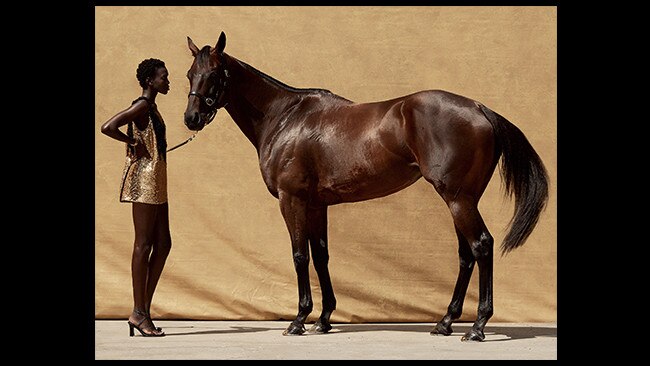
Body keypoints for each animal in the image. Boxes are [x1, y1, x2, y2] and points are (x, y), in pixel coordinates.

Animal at [182, 33, 548, 342]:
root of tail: (479, 108)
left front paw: (299, 321)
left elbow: (300, 256)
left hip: (458, 198)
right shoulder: (317, 204)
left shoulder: (292, 199)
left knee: (481, 246)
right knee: (465, 254)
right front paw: (323, 319)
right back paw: (445, 322)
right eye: (189, 74)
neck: (286, 118)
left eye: (214, 74)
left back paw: (477, 327)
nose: (191, 118)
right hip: (464, 199)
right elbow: (321, 256)